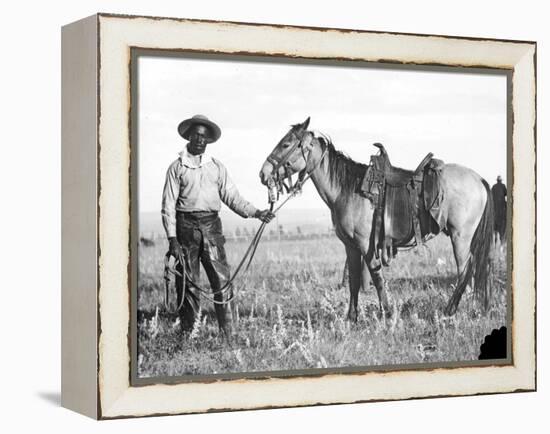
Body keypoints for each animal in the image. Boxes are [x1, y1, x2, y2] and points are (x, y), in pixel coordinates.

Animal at [260, 117, 498, 320]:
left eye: (286, 144)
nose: (263, 173)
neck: (346, 189)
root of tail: (479, 179)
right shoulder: (351, 246)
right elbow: (354, 279)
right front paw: (351, 318)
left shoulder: (366, 244)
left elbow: (376, 277)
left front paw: (387, 314)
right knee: (482, 265)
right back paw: (483, 308)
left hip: (461, 236)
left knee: (466, 270)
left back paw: (451, 310)